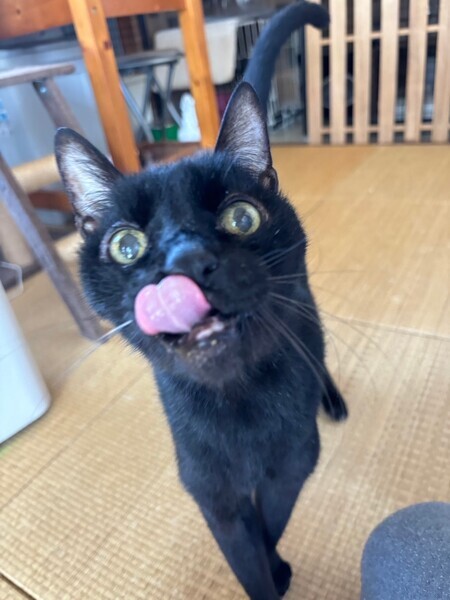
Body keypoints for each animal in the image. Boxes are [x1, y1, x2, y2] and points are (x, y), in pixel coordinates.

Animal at [55, 2, 347, 598]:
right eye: (125, 245)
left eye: (242, 217)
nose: (186, 261)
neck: (239, 407)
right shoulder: (209, 489)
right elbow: (244, 553)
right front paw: (269, 575)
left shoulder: (294, 463)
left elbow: (272, 520)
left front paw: (277, 566)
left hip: (305, 309)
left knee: (320, 357)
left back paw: (331, 400)